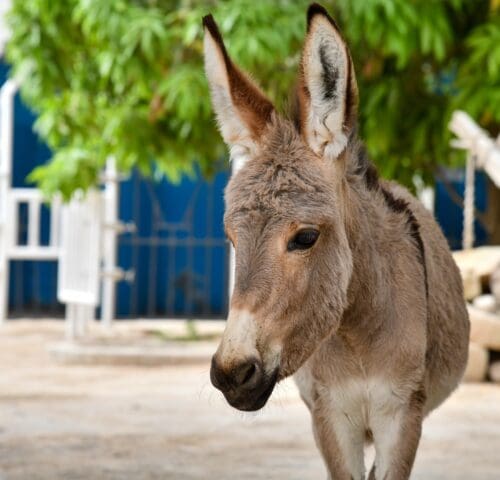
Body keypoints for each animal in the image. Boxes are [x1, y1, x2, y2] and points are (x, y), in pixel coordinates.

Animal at [202, 4, 468, 480]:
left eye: (306, 237)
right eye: (231, 238)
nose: (233, 373)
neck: (356, 332)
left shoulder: (402, 417)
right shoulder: (329, 415)